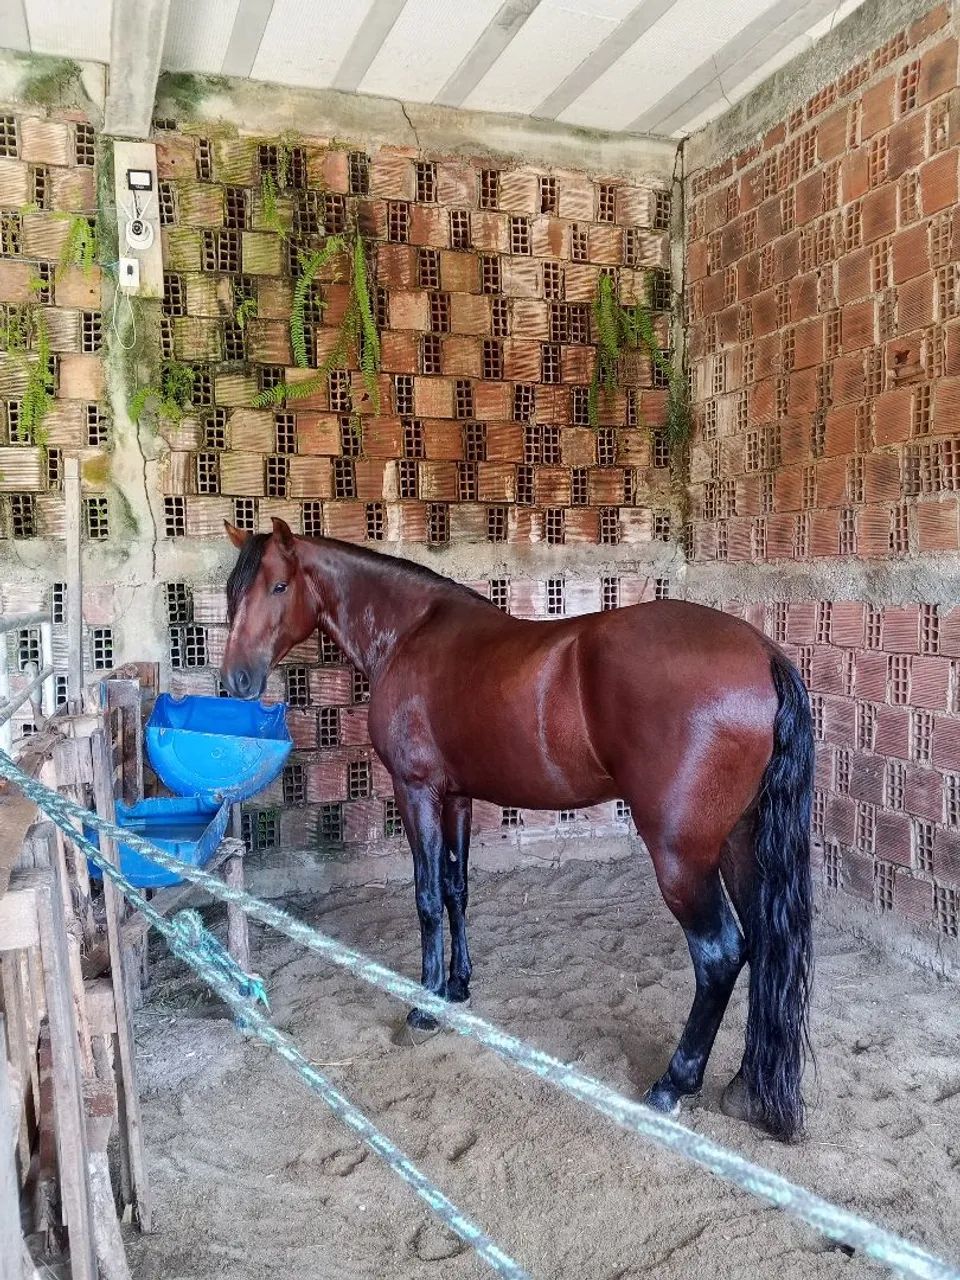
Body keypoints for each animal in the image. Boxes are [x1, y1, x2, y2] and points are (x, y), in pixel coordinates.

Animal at [220, 517, 813, 1140]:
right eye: (234, 591)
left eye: (278, 586)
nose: (236, 679)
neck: (410, 632)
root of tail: (763, 653)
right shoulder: (455, 797)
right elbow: (455, 891)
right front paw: (457, 987)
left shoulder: (417, 791)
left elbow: (426, 898)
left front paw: (425, 1008)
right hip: (741, 842)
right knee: (764, 945)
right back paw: (745, 1088)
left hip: (682, 856)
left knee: (720, 953)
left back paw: (673, 1085)